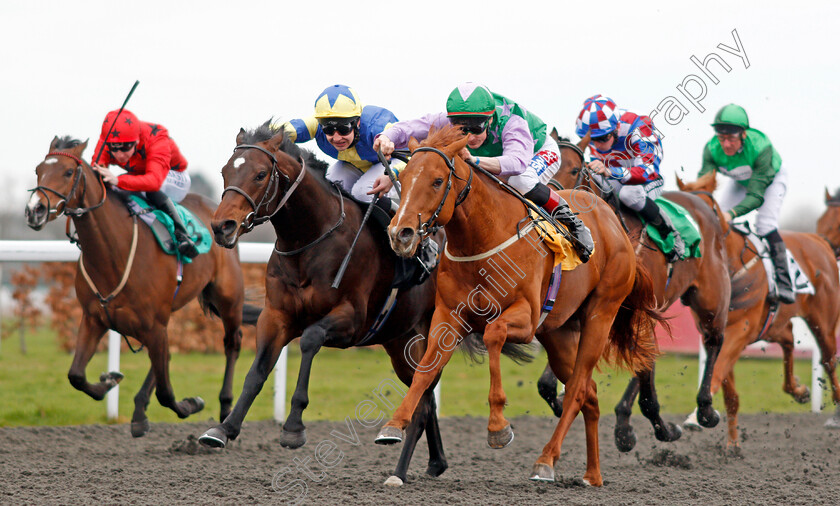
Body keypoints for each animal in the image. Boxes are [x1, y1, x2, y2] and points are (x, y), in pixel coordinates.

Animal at [26, 136, 256, 436]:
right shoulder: (94, 318)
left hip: (228, 296)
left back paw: (226, 407)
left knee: (232, 343)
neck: (113, 253)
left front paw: (191, 403)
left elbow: (167, 394)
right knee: (164, 358)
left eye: (67, 172)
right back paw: (138, 410)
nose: (35, 210)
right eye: (38, 170)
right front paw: (109, 381)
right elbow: (76, 375)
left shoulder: (153, 325)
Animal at [200, 123, 502, 486]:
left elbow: (310, 339)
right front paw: (223, 428)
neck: (309, 242)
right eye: (225, 171)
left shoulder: (351, 320)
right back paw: (434, 462)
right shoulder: (275, 317)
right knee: (423, 397)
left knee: (423, 402)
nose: (222, 226)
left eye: (260, 174)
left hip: (431, 333)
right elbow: (257, 371)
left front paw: (293, 427)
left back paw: (400, 469)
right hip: (399, 342)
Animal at [378, 124, 668, 484]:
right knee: (590, 393)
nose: (400, 234)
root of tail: (614, 223)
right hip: (559, 334)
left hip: (601, 315)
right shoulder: (448, 317)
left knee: (576, 390)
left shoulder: (526, 319)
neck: (482, 240)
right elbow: (425, 370)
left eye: (436, 181)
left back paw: (546, 460)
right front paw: (394, 425)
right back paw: (592, 474)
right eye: (403, 179)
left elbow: (493, 334)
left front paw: (498, 427)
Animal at [540, 131, 732, 450]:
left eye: (574, 169)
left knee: (714, 339)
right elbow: (548, 383)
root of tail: (703, 203)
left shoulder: (632, 311)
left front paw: (657, 428)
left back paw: (705, 409)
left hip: (710, 298)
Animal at [676, 171, 840, 442]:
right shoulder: (716, 331)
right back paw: (798, 390)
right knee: (788, 338)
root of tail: (819, 242)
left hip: (823, 323)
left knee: (828, 359)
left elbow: (717, 371)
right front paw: (731, 444)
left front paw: (695, 417)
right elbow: (729, 391)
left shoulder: (740, 329)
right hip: (772, 325)